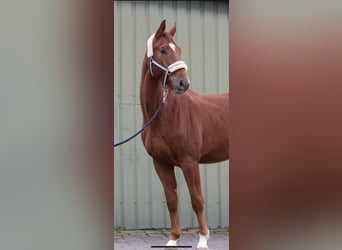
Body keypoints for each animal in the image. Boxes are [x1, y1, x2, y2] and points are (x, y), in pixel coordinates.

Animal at [140, 20, 228, 249]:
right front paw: (173, 239)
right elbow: (172, 200)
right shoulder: (161, 163)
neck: (165, 114)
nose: (183, 83)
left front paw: (203, 239)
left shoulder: (190, 161)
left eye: (178, 49)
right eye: (163, 50)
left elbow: (197, 199)